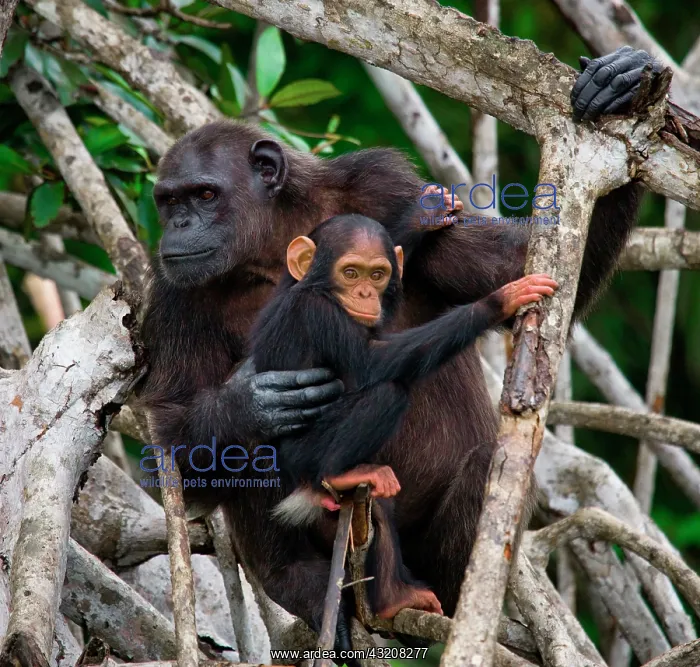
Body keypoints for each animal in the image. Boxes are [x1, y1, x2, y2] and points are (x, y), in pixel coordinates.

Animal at [140, 47, 657, 656]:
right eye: (168, 200)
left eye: (204, 194)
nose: (179, 224)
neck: (271, 239)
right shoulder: (172, 291)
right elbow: (174, 433)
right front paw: (254, 401)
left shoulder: (384, 186)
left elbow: (511, 264)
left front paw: (616, 85)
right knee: (243, 458)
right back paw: (305, 583)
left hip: (431, 565)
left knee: (485, 466)